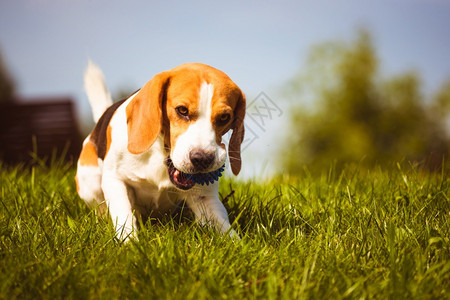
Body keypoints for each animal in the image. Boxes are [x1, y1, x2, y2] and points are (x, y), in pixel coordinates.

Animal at [77, 62, 246, 240]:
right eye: (182, 110)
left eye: (224, 117)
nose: (202, 159)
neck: (162, 156)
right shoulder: (114, 179)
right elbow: (124, 217)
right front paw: (130, 243)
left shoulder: (205, 197)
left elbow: (227, 231)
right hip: (90, 184)